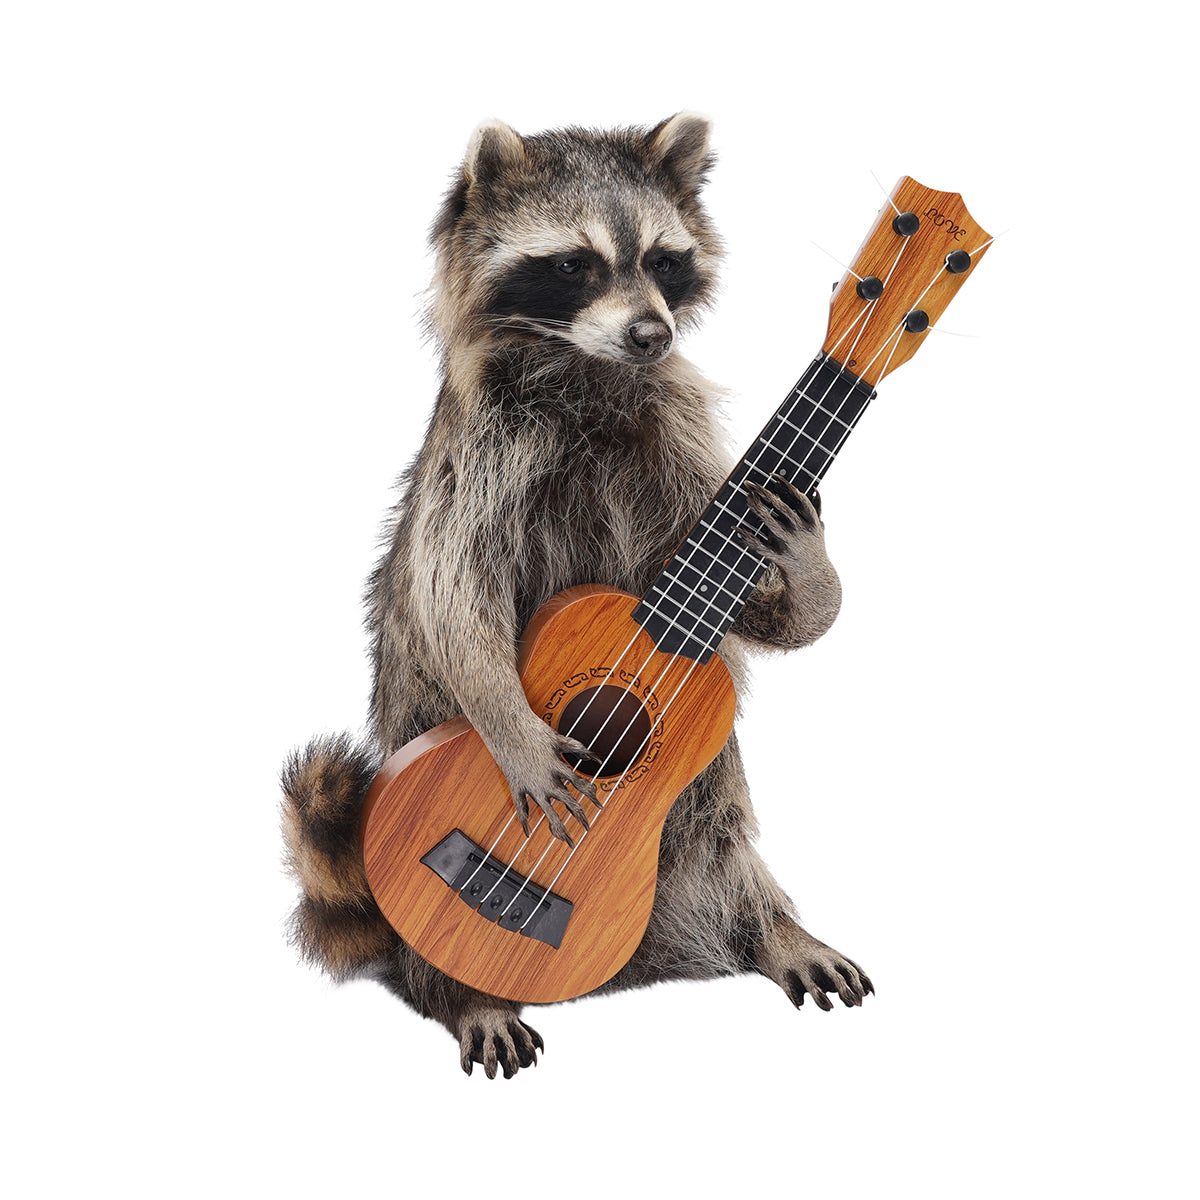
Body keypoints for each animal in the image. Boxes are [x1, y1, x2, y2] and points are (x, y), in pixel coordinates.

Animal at [282, 113, 873, 1079]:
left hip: (705, 813)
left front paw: (809, 562)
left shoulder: (679, 449)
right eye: (572, 264)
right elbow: (452, 595)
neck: (584, 366)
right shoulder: (477, 459)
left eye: (665, 259)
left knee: (723, 839)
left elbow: (769, 613)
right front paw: (517, 733)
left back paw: (771, 928)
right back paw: (469, 992)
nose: (651, 334)